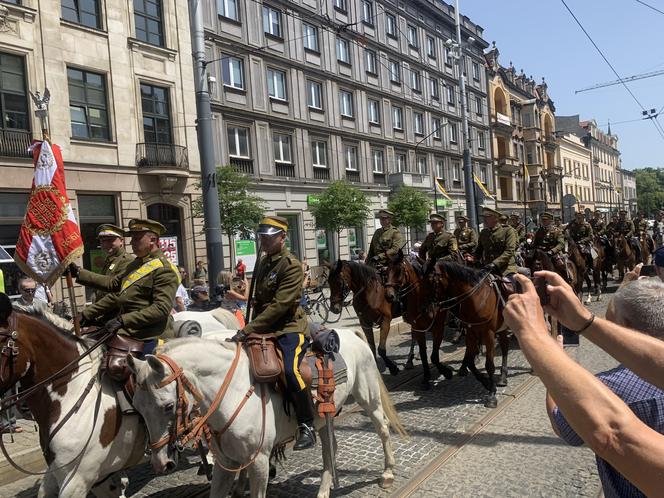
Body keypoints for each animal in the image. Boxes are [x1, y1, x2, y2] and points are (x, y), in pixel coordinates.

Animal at [126, 330, 402, 498]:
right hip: (324, 419)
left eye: (168, 406)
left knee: (382, 428)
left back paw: (388, 473)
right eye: (137, 408)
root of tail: (350, 333)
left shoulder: (258, 461)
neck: (232, 391)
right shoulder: (226, 463)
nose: (161, 463)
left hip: (368, 398)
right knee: (330, 447)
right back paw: (324, 489)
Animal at [382, 253, 454, 390]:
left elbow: (434, 356)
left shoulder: (438, 328)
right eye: (386, 271)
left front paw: (446, 372)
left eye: (399, 271)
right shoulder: (418, 328)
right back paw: (409, 360)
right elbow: (423, 352)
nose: (389, 296)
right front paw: (426, 377)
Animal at [430, 260, 508, 408]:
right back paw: (503, 377)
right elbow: (471, 363)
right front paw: (487, 383)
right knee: (505, 349)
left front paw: (492, 395)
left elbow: (489, 365)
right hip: (502, 329)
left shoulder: (489, 334)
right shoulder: (471, 333)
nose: (430, 309)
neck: (476, 298)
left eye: (432, 280)